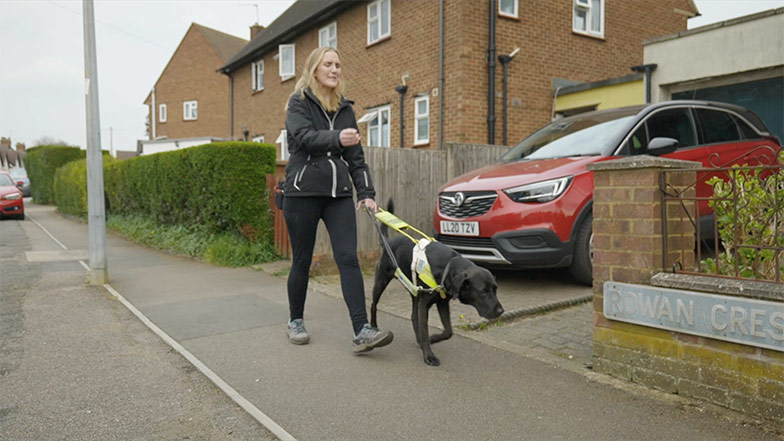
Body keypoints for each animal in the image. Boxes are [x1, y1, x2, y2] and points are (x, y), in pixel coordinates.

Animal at [368, 199, 502, 364]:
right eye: (483, 291)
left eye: (495, 289)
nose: (501, 311)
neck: (448, 267)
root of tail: (389, 242)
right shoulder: (425, 304)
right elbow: (425, 329)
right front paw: (429, 355)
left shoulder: (442, 302)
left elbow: (448, 331)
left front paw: (432, 339)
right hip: (381, 282)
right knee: (373, 305)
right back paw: (374, 326)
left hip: (415, 292)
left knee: (413, 316)